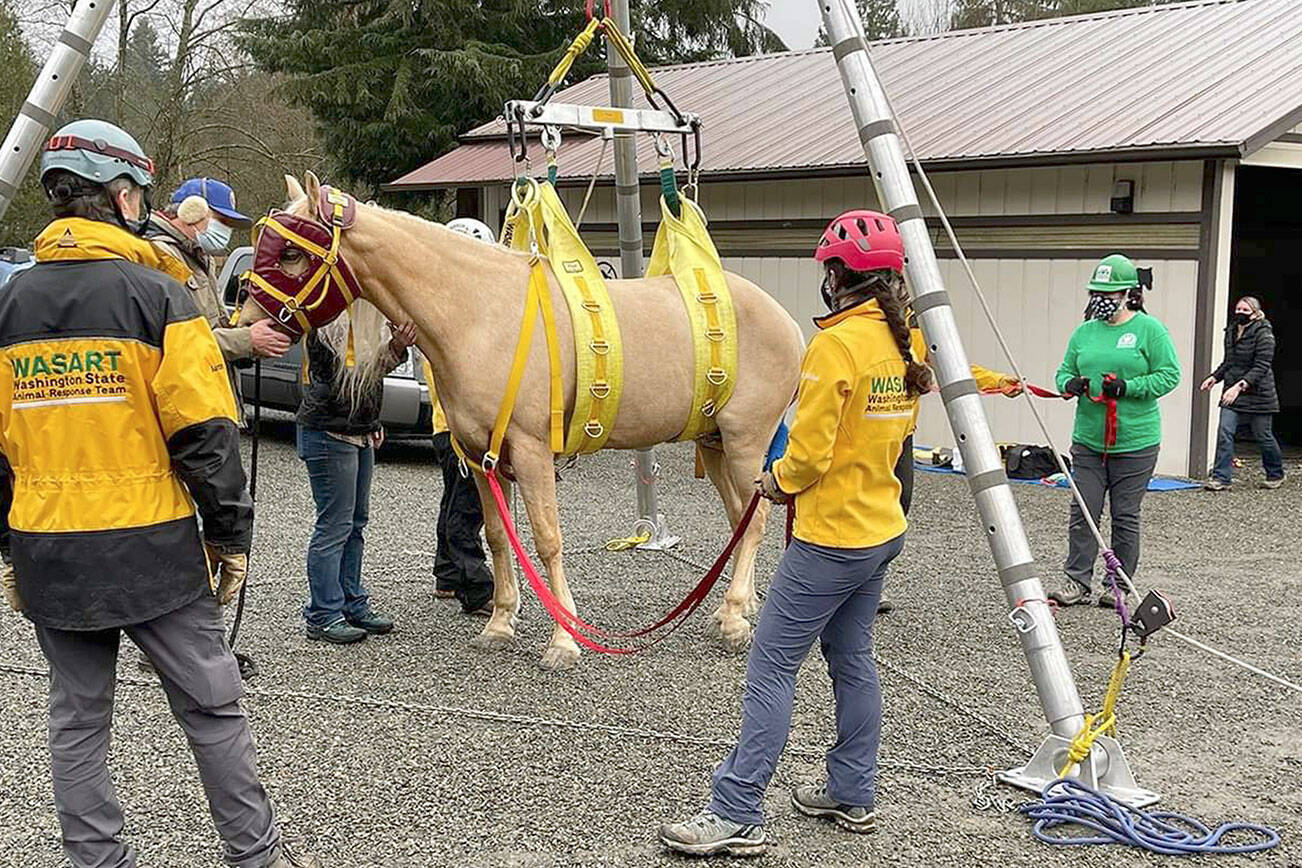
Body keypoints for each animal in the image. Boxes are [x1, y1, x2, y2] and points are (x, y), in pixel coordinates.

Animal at [240, 171, 804, 670]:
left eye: (290, 253)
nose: (247, 326)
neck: (480, 314)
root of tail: (786, 321)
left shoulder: (532, 452)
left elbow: (547, 539)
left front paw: (564, 640)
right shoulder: (480, 456)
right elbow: (495, 535)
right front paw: (500, 623)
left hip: (746, 443)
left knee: (754, 519)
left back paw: (733, 618)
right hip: (715, 442)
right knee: (740, 518)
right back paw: (739, 609)